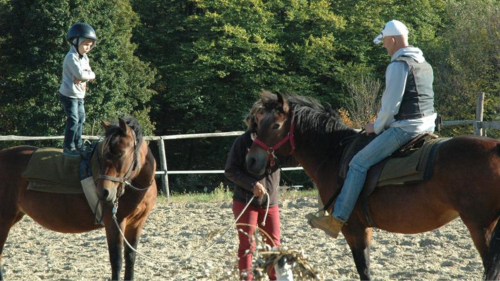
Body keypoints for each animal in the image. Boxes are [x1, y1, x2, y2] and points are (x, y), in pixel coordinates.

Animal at [0, 115, 157, 278]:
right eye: (103, 155)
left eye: (120, 153)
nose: (104, 192)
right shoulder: (115, 223)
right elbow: (117, 261)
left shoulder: (137, 223)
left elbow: (130, 258)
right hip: (4, 219)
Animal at [244, 91, 500, 278]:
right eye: (258, 122)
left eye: (275, 126)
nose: (252, 159)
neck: (334, 154)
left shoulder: (354, 229)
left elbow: (364, 269)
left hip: (481, 227)